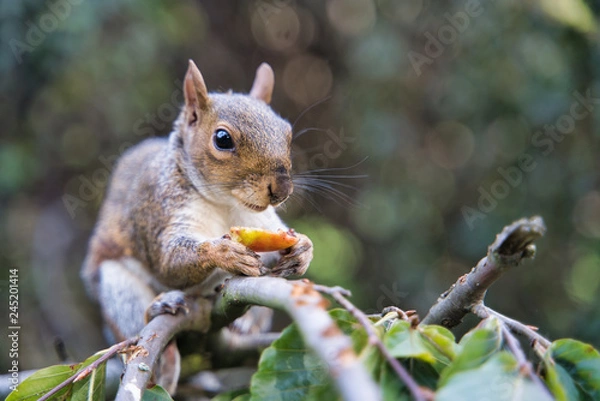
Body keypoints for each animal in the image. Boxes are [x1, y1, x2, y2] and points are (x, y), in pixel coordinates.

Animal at [81, 60, 314, 394]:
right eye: (222, 139)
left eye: (287, 133)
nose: (281, 189)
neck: (225, 203)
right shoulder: (159, 211)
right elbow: (167, 263)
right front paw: (224, 252)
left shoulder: (262, 222)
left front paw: (303, 249)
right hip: (116, 288)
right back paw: (162, 337)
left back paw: (245, 323)